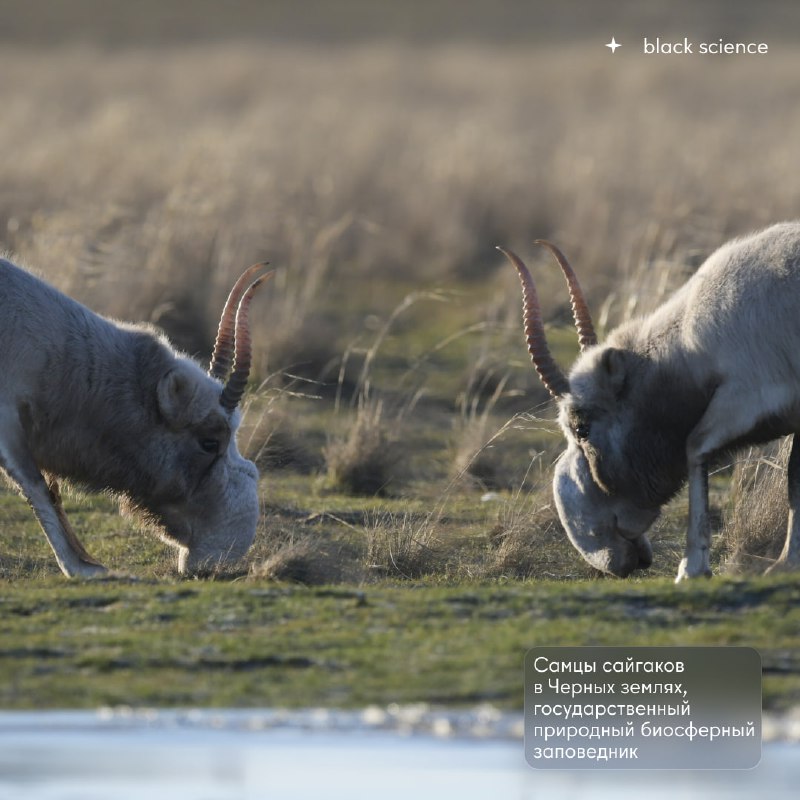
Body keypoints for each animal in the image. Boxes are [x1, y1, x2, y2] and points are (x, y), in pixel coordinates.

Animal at [504, 223, 800, 580]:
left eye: (581, 428)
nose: (609, 556)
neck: (687, 345)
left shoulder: (746, 394)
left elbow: (695, 447)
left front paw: (691, 568)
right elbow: (795, 479)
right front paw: (788, 560)